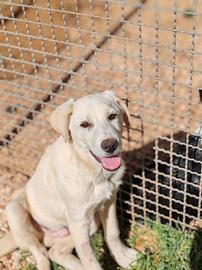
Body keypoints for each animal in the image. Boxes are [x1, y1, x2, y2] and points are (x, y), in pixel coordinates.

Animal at [0, 90, 137, 270]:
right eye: (85, 124)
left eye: (112, 116)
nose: (110, 145)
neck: (92, 171)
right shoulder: (78, 221)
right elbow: (89, 259)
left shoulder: (108, 203)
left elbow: (113, 233)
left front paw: (123, 258)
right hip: (15, 211)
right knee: (41, 253)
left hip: (90, 223)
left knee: (55, 252)